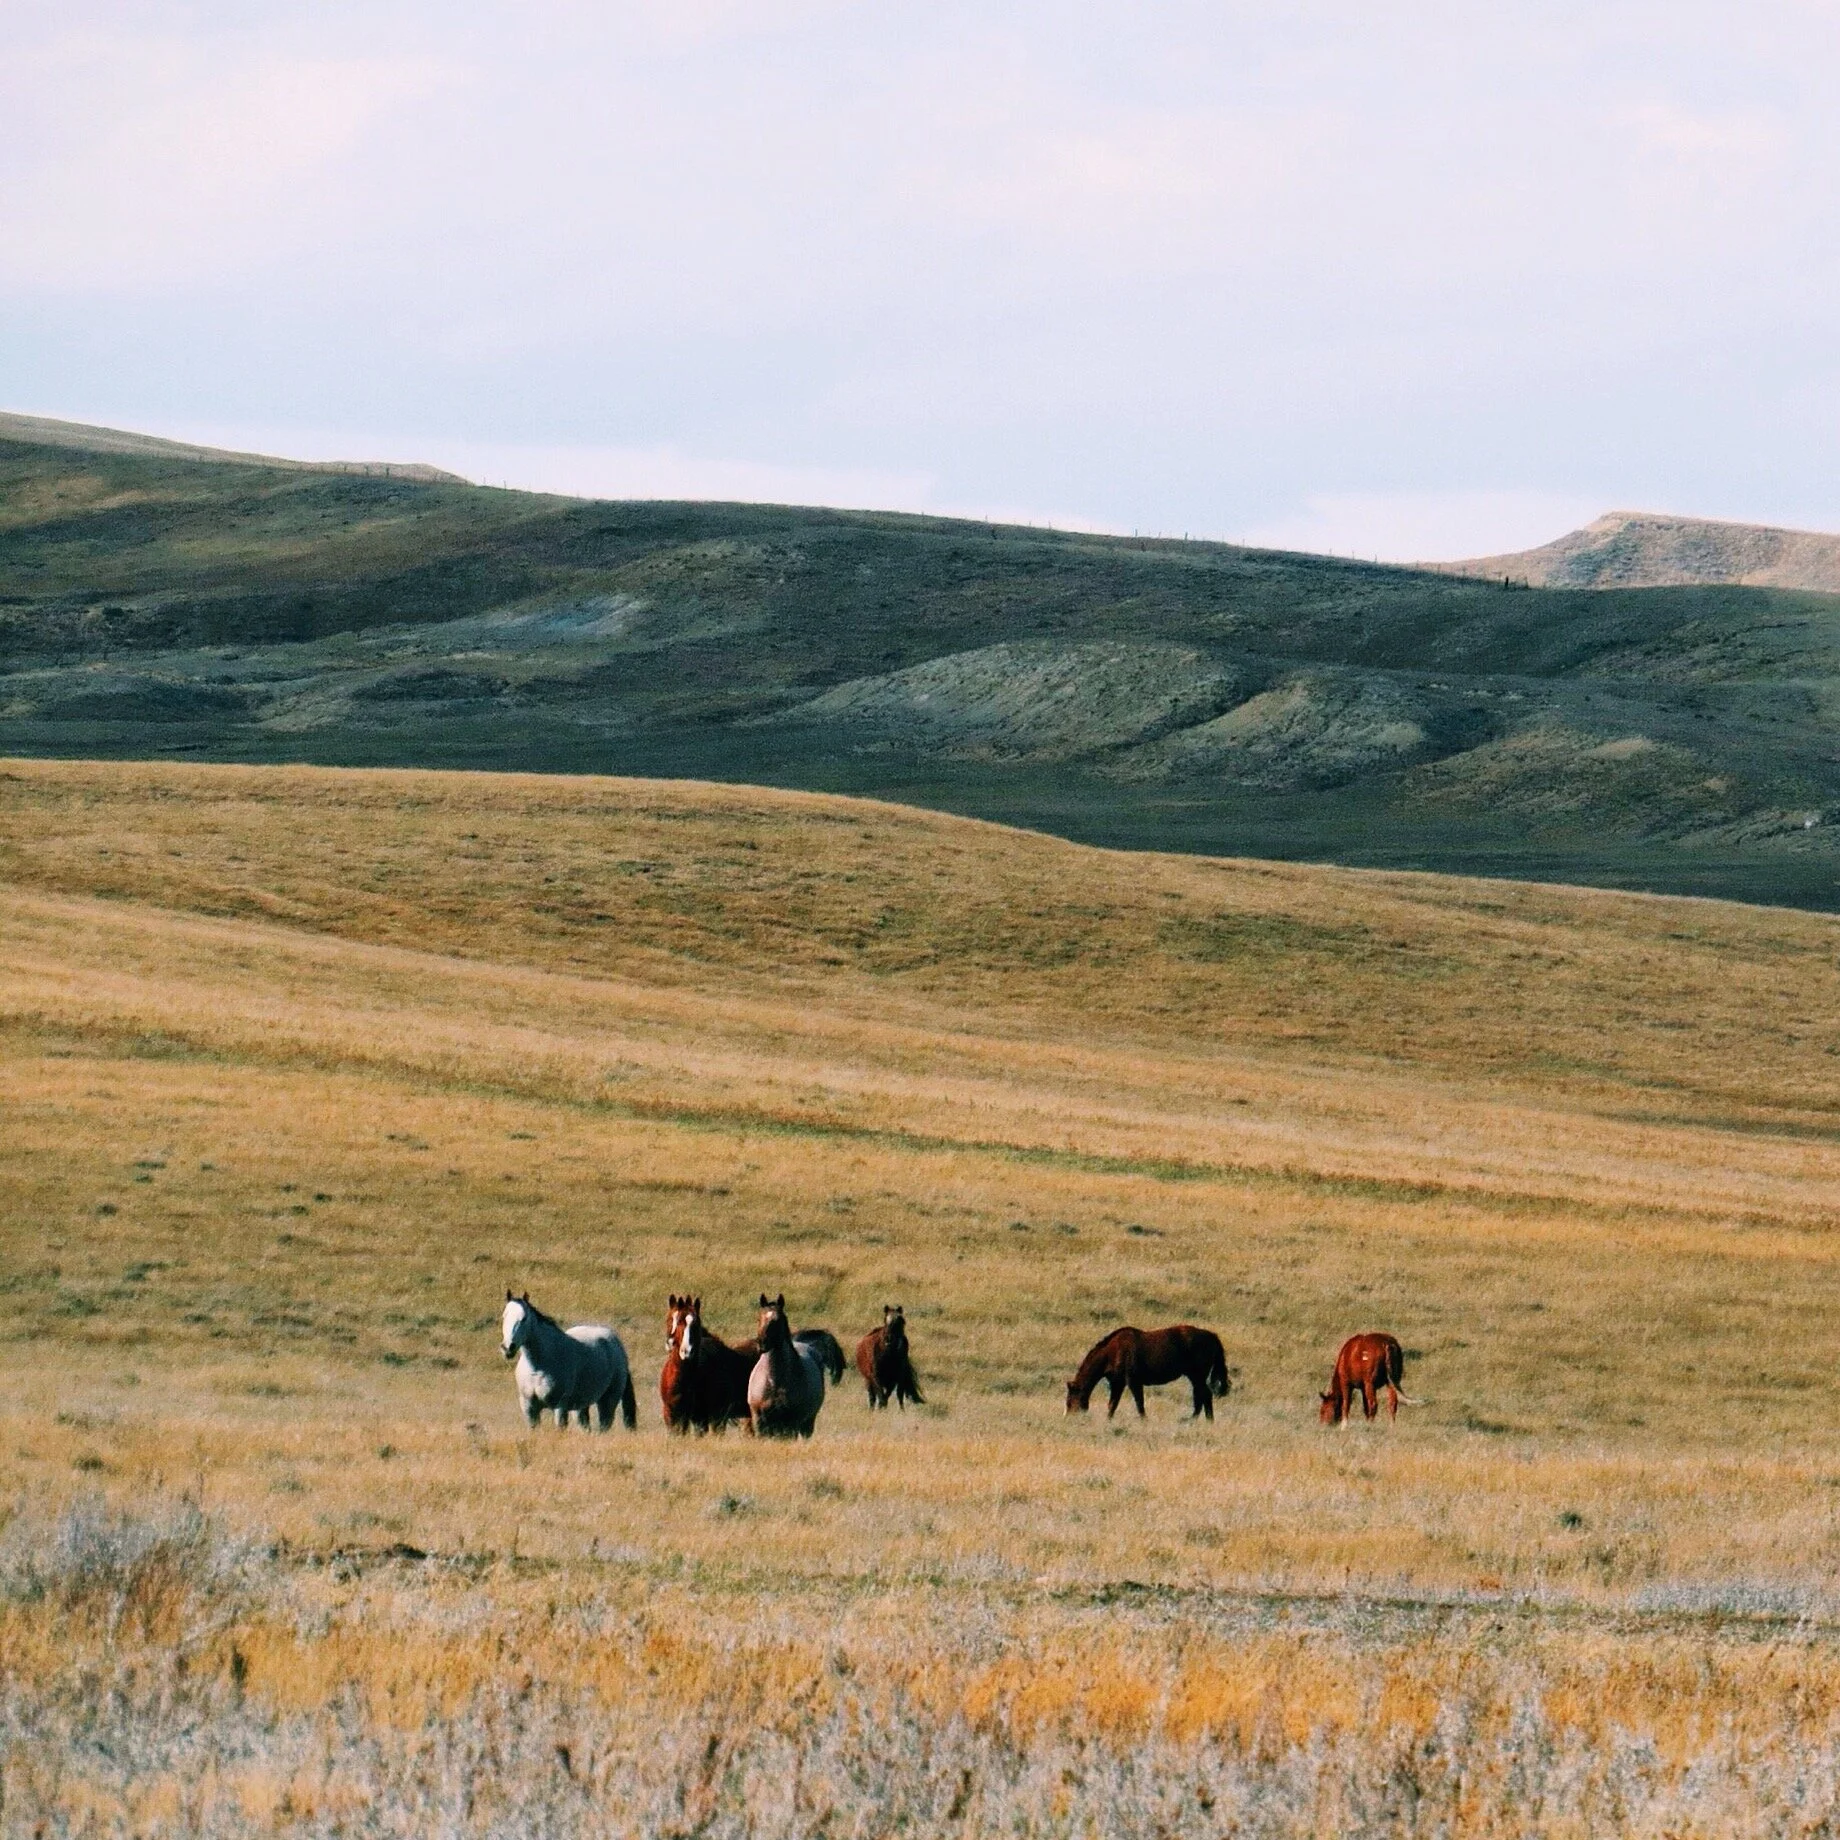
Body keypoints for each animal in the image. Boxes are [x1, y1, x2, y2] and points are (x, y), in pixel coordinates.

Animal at [501, 1290, 636, 1431]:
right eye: (504, 1316)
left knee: (604, 1425)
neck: (538, 1367)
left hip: (608, 1400)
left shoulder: (560, 1407)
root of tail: (617, 1344)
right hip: (580, 1407)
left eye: (524, 1318)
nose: (508, 1348)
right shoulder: (529, 1408)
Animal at [747, 1294, 828, 1438]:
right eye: (759, 1318)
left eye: (777, 1320)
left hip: (807, 1422)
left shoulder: (791, 1422)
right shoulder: (760, 1421)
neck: (774, 1381)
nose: (761, 1344)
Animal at [1065, 1324, 1230, 1421]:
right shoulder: (1118, 1382)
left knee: (1205, 1395)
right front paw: (1108, 1420)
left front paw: (1144, 1420)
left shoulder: (1133, 1381)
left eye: (1070, 1399)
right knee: (1200, 1396)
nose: (1068, 1417)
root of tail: (1212, 1336)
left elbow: (1139, 1403)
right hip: (1194, 1376)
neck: (1113, 1351)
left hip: (1197, 1375)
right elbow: (1113, 1404)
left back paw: (1203, 1420)